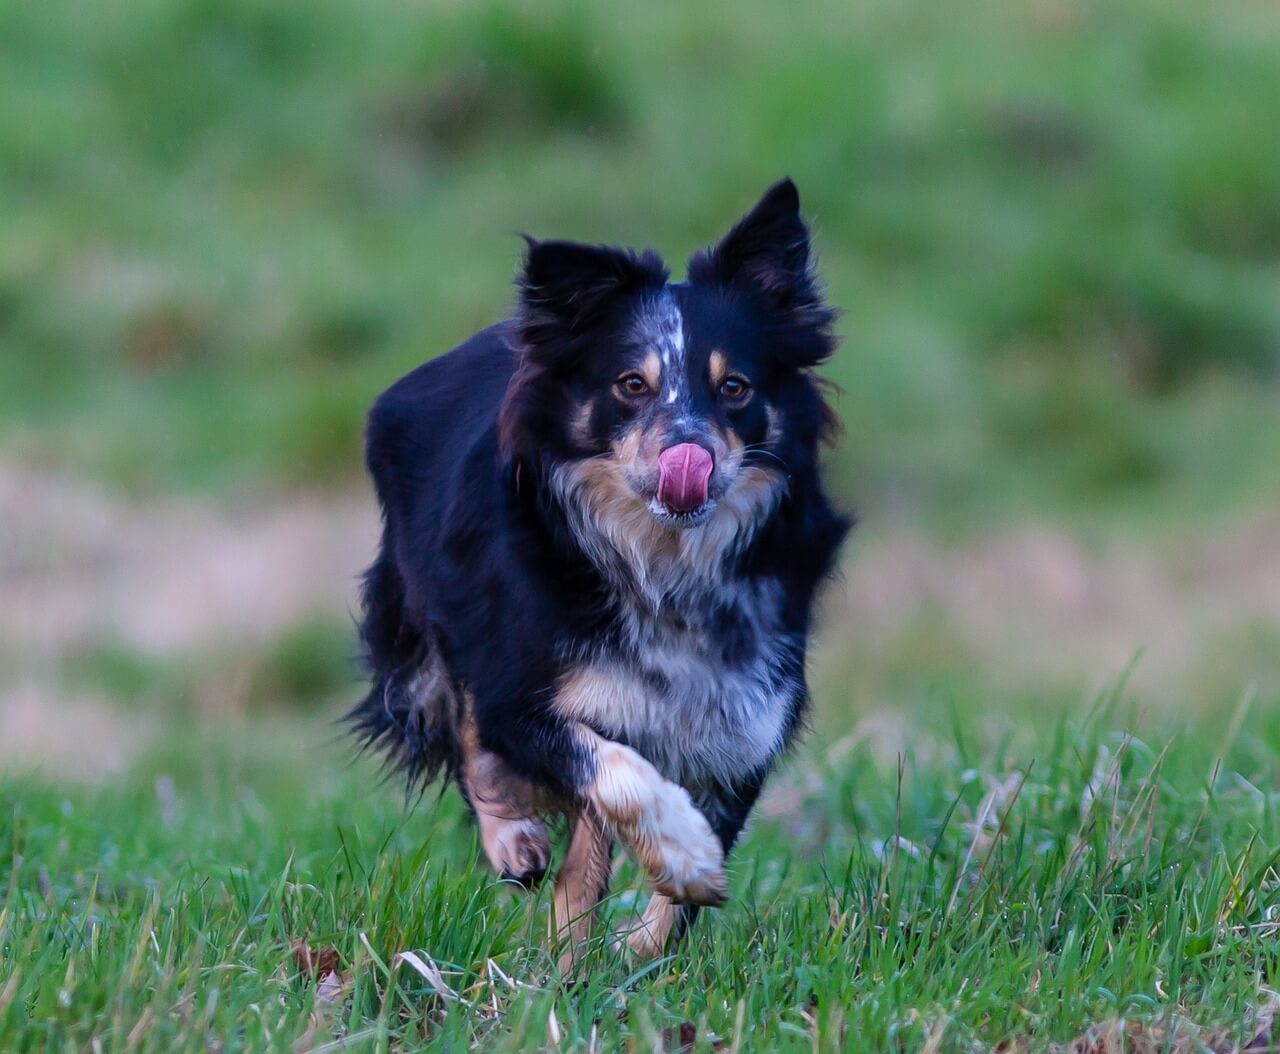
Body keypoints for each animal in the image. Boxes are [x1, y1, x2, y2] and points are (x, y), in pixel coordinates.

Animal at [350, 179, 849, 963]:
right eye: (631, 385)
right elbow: (608, 768)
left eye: (735, 387)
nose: (687, 458)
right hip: (435, 604)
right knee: (465, 722)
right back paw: (516, 844)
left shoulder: (749, 707)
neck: (667, 561)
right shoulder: (523, 687)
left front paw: (634, 948)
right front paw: (683, 855)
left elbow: (664, 862)